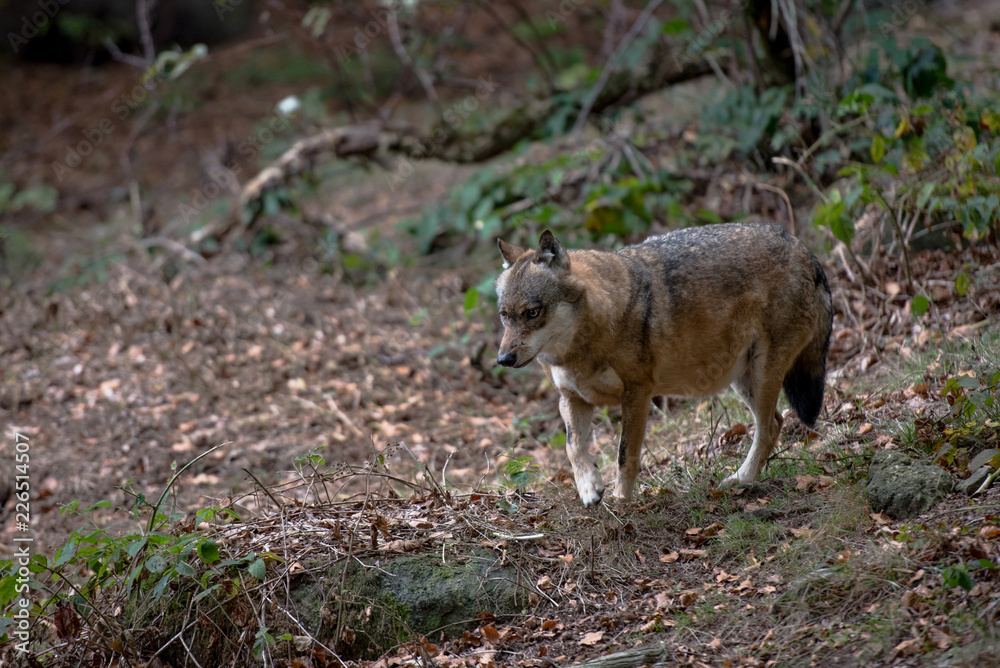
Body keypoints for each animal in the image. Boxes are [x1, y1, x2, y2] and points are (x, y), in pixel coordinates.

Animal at [495, 222, 833, 507]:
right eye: (505, 316)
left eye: (533, 312)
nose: (503, 359)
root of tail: (805, 251)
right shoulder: (572, 399)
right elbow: (573, 448)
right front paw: (590, 489)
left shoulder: (637, 394)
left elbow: (624, 455)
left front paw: (621, 501)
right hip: (743, 380)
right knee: (776, 422)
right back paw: (741, 481)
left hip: (762, 376)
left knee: (768, 427)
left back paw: (741, 480)